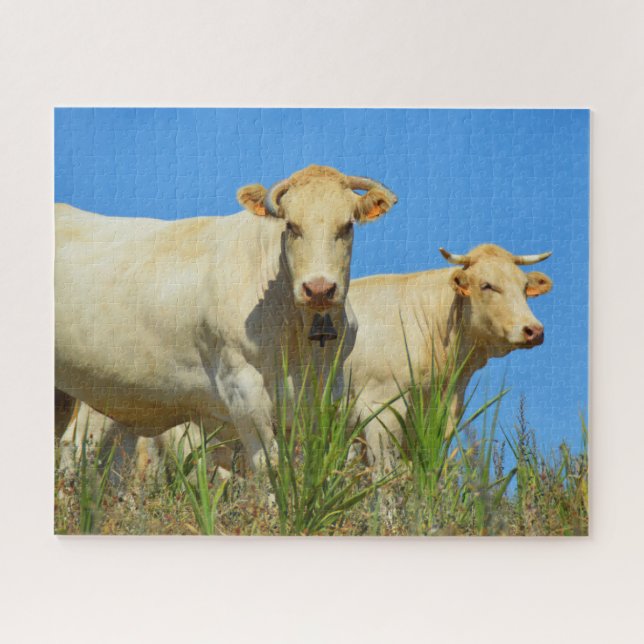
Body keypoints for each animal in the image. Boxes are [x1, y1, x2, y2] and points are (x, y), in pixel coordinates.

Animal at [56, 165, 397, 474]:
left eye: (347, 226)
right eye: (291, 225)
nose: (319, 289)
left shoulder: (325, 393)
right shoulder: (242, 387)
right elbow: (269, 466)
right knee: (76, 449)